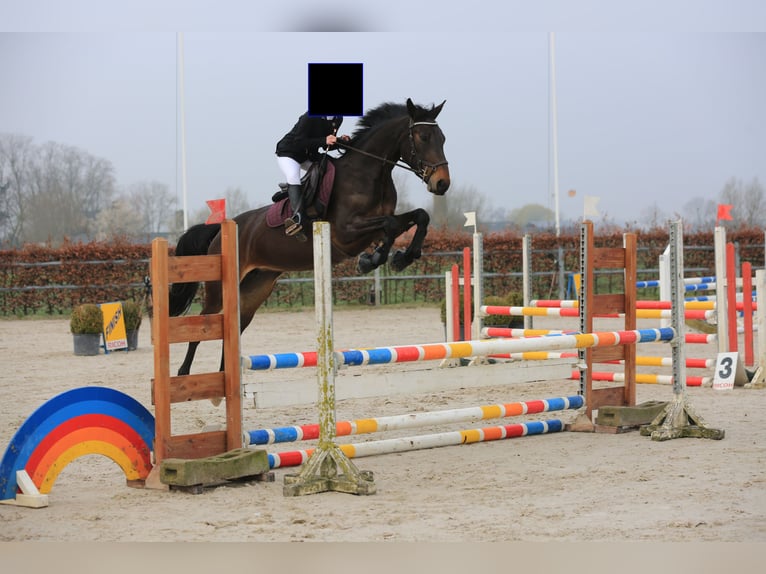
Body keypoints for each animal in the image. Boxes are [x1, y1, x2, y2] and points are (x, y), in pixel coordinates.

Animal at [171, 98, 452, 378]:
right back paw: (184, 374)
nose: (442, 184)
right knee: (203, 324)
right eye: (423, 137)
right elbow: (391, 225)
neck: (369, 173)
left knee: (235, 327)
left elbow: (417, 217)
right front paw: (371, 260)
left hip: (256, 287)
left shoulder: (373, 227)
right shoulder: (346, 233)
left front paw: (399, 258)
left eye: (443, 138)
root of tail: (221, 230)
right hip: (219, 289)